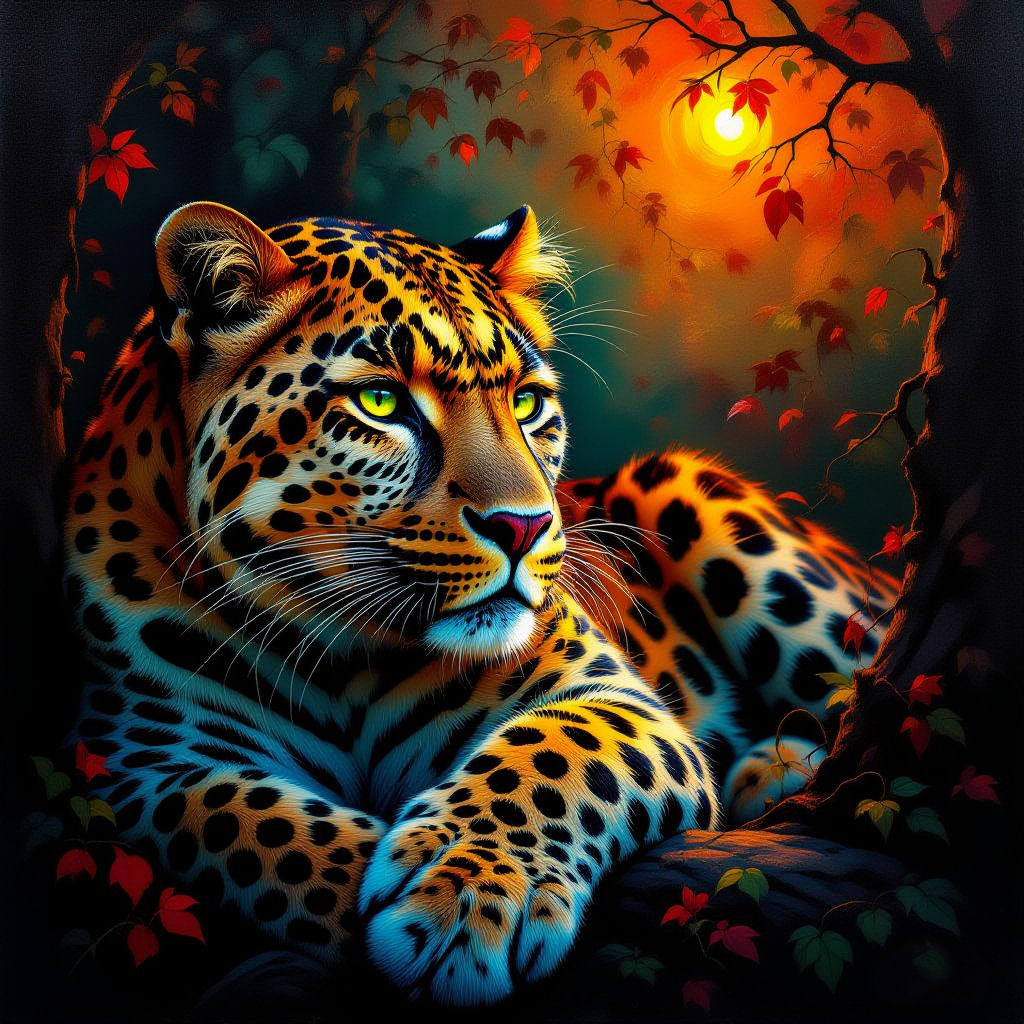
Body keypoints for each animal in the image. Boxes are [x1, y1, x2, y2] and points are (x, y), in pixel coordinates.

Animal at [63, 200, 896, 1005]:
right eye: (381, 401)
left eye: (526, 403)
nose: (525, 526)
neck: (339, 655)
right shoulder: (150, 759)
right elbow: (264, 832)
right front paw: (409, 899)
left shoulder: (607, 692)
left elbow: (552, 759)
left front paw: (468, 890)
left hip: (694, 495)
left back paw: (781, 768)